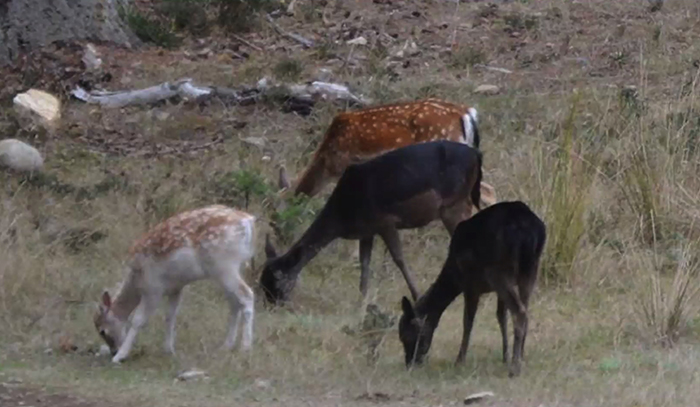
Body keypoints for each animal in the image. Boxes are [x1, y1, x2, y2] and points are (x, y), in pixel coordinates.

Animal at [93, 205, 257, 364]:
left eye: (102, 331)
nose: (113, 350)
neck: (136, 280)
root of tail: (247, 221)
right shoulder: (176, 287)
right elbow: (170, 316)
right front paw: (168, 350)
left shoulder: (153, 288)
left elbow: (138, 320)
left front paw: (120, 357)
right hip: (228, 269)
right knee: (234, 302)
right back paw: (227, 345)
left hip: (224, 265)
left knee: (247, 295)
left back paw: (245, 347)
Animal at [260, 140, 483, 306]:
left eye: (277, 279)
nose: (272, 302)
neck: (343, 215)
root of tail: (477, 154)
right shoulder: (367, 230)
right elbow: (364, 262)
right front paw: (362, 300)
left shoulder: (384, 220)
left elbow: (398, 258)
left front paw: (417, 295)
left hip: (453, 203)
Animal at [398, 201, 546, 378]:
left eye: (406, 336)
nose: (410, 363)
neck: (454, 275)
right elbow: (500, 316)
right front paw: (505, 356)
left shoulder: (470, 284)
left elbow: (467, 321)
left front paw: (459, 361)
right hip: (529, 269)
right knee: (525, 309)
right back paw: (520, 358)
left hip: (498, 271)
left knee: (520, 312)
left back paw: (515, 368)